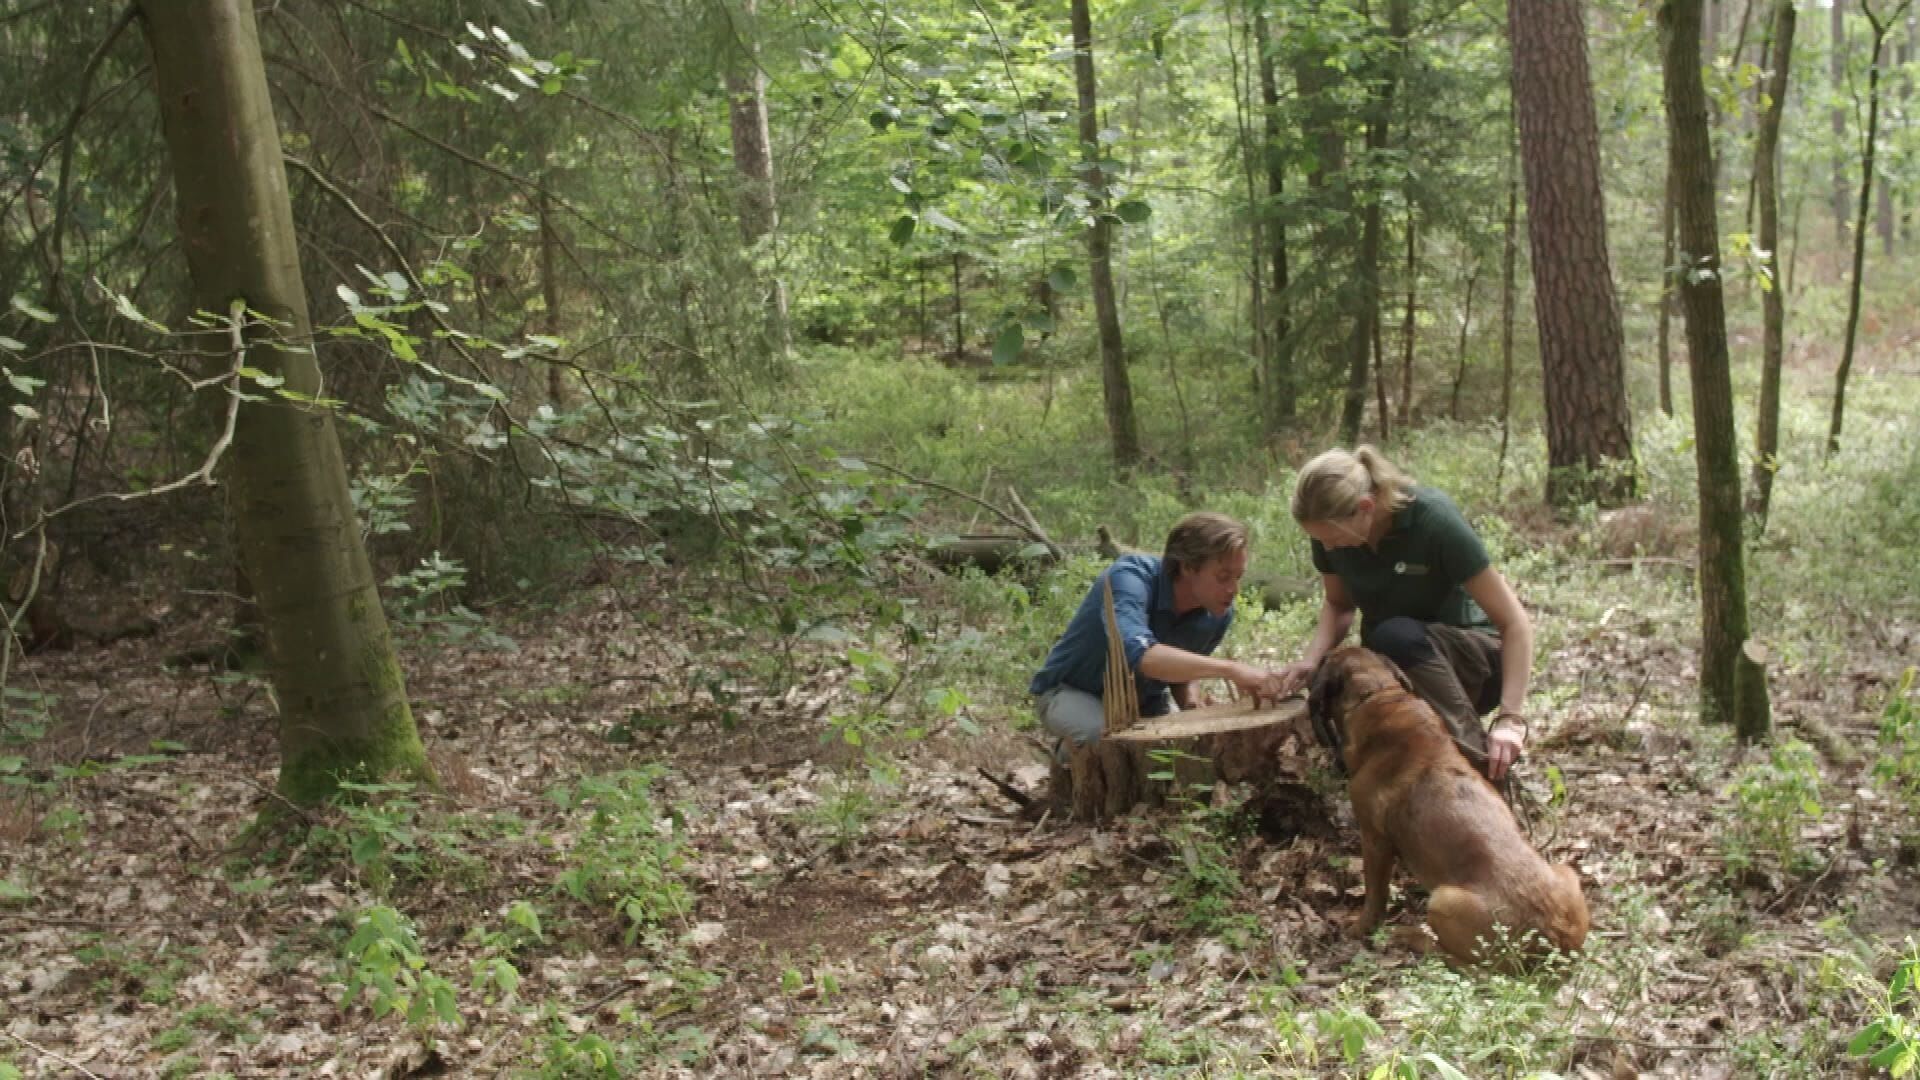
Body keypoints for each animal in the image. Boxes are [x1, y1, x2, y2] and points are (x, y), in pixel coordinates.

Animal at [1308, 646, 1588, 967]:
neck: (1377, 694)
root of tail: (1556, 939)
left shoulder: (1374, 840)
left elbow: (1375, 896)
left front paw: (1360, 928)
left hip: (1443, 899)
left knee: (1462, 964)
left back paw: (1411, 936)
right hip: (1565, 871)